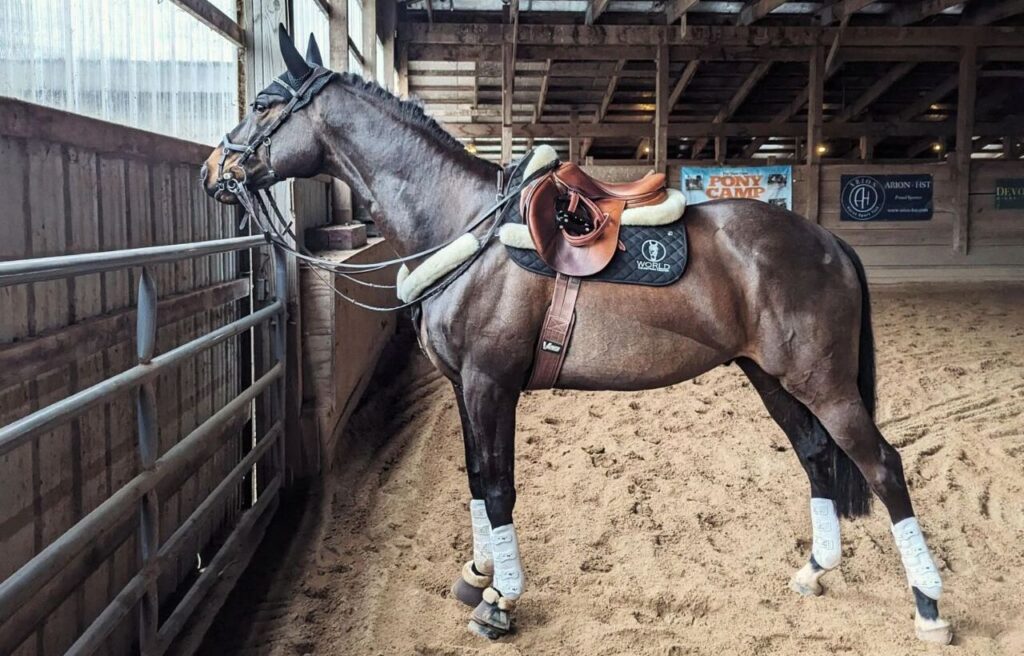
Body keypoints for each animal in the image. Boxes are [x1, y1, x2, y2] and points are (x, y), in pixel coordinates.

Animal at [201, 26, 952, 645]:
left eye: (265, 104)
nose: (215, 170)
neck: (466, 223)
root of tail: (827, 240)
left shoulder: (491, 384)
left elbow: (499, 487)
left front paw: (501, 600)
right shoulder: (464, 388)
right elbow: (475, 477)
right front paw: (477, 574)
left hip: (821, 381)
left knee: (882, 466)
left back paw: (928, 606)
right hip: (770, 375)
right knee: (817, 457)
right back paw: (815, 569)